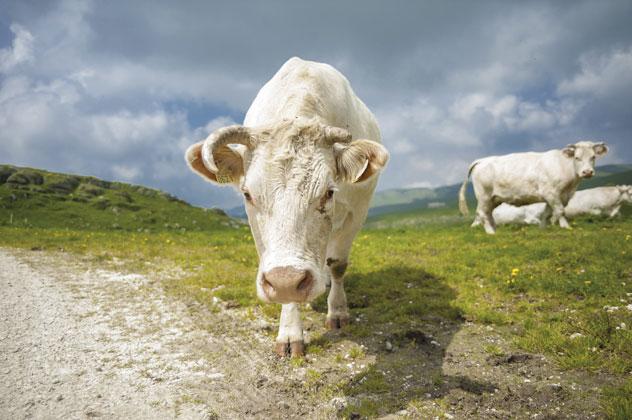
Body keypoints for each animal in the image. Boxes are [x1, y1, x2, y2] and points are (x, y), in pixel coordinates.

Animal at [185, 56, 388, 358]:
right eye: (247, 194)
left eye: (329, 192)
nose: (288, 278)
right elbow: (285, 291)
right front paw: (291, 333)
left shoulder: (357, 210)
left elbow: (338, 265)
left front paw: (338, 312)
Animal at [460, 140, 608, 233]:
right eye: (577, 158)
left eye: (593, 157)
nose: (587, 172)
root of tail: (481, 160)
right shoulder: (551, 193)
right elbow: (560, 211)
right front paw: (566, 227)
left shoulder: (559, 196)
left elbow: (547, 213)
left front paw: (542, 229)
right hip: (484, 196)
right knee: (482, 213)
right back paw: (491, 232)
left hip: (494, 198)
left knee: (489, 213)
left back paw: (495, 230)